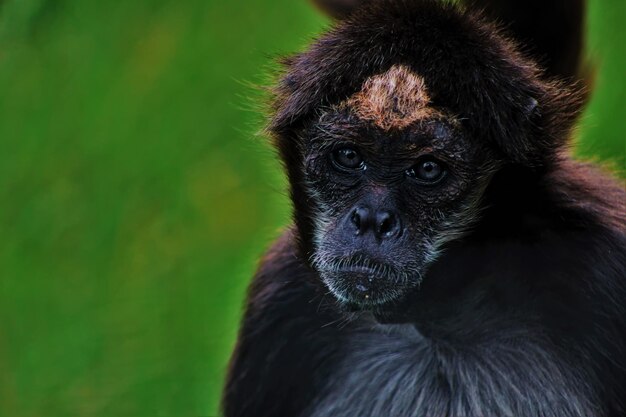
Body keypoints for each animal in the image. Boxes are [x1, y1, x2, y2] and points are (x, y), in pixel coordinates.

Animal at [222, 0, 624, 416]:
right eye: (348, 156)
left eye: (428, 169)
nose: (372, 220)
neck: (435, 326)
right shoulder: (280, 296)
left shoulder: (601, 260)